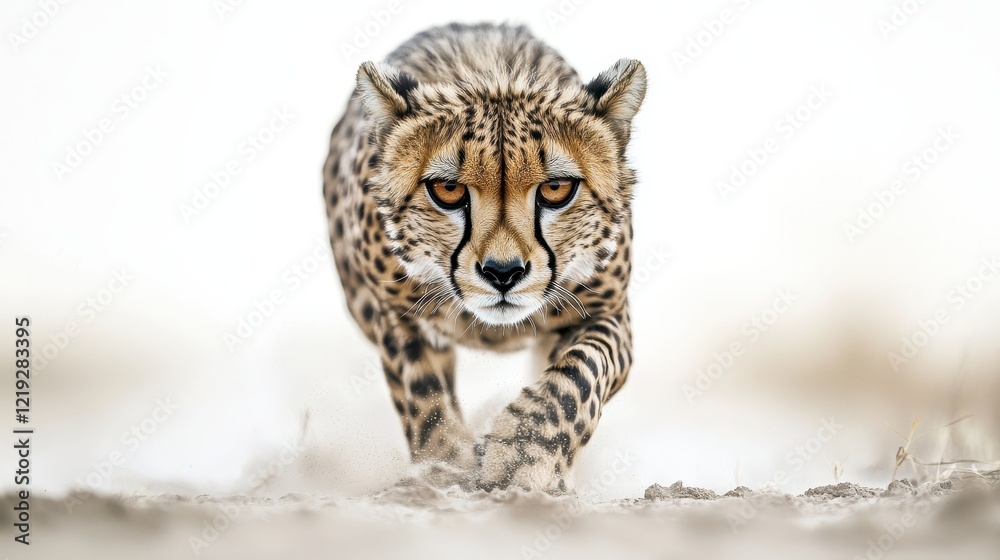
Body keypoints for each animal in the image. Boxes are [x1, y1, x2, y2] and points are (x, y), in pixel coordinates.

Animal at [322, 22, 645, 493]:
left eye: (556, 189)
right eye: (448, 190)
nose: (503, 272)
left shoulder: (607, 311)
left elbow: (580, 374)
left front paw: (524, 452)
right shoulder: (396, 315)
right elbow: (423, 390)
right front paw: (444, 465)